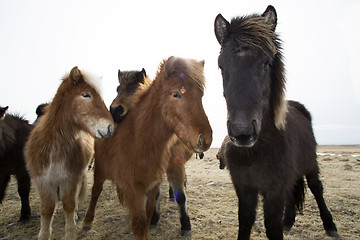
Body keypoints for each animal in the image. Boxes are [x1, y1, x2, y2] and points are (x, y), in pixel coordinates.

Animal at [24, 66, 114, 240]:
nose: (110, 128)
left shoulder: (70, 179)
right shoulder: (43, 181)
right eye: (85, 94)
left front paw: (71, 229)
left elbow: (69, 205)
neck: (54, 147)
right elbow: (47, 210)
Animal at [82, 56, 212, 240]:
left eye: (201, 95)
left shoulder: (173, 165)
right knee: (96, 191)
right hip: (100, 168)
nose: (115, 111)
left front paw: (185, 223)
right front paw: (155, 219)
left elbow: (180, 197)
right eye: (176, 94)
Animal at [214, 5, 338, 240]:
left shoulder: (274, 191)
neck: (257, 152)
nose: (242, 133)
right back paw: (289, 220)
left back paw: (330, 226)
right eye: (221, 66)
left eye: (266, 63)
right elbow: (245, 223)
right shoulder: (245, 189)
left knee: (316, 188)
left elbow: (273, 228)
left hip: (311, 164)